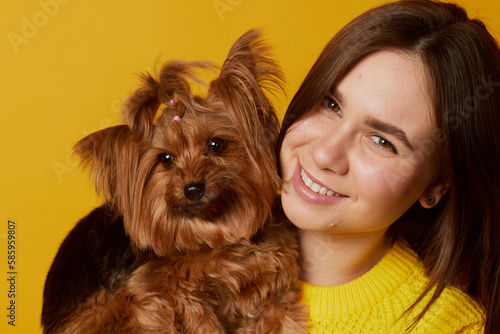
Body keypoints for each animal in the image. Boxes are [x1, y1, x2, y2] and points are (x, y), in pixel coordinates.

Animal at [42, 29, 308, 334]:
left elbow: (278, 315)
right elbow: (199, 321)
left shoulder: (270, 286)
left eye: (216, 144)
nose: (193, 188)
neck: (214, 233)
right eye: (166, 159)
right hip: (131, 308)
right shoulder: (180, 297)